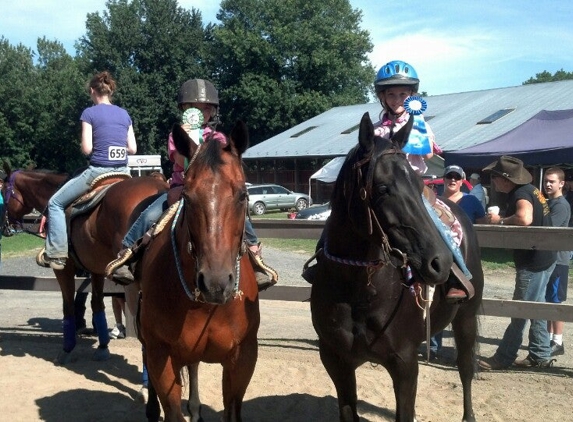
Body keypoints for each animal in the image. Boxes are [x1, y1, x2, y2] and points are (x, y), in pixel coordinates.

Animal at [1, 165, 168, 362]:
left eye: (3, 191)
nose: (5, 227)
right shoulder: (96, 269)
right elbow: (97, 304)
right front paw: (103, 347)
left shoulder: (65, 269)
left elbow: (68, 306)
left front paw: (67, 349)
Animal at [137, 123, 258, 422]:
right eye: (187, 197)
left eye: (242, 195)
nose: (215, 284)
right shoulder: (161, 354)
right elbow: (171, 409)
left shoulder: (243, 357)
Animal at [310, 113, 480, 422]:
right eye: (382, 188)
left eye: (418, 185)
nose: (440, 262)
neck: (360, 291)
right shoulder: (336, 361)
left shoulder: (404, 365)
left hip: (466, 319)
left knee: (465, 368)